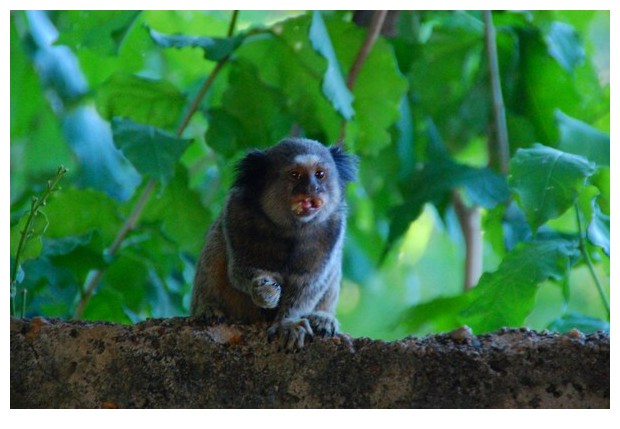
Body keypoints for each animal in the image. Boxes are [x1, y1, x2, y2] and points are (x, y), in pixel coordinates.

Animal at [194, 137, 358, 348]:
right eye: (295, 175)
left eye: (320, 174)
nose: (312, 188)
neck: (290, 229)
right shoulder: (236, 211)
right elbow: (239, 270)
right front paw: (264, 290)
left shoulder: (333, 228)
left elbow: (309, 284)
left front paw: (287, 322)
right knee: (215, 245)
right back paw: (208, 308)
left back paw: (322, 318)